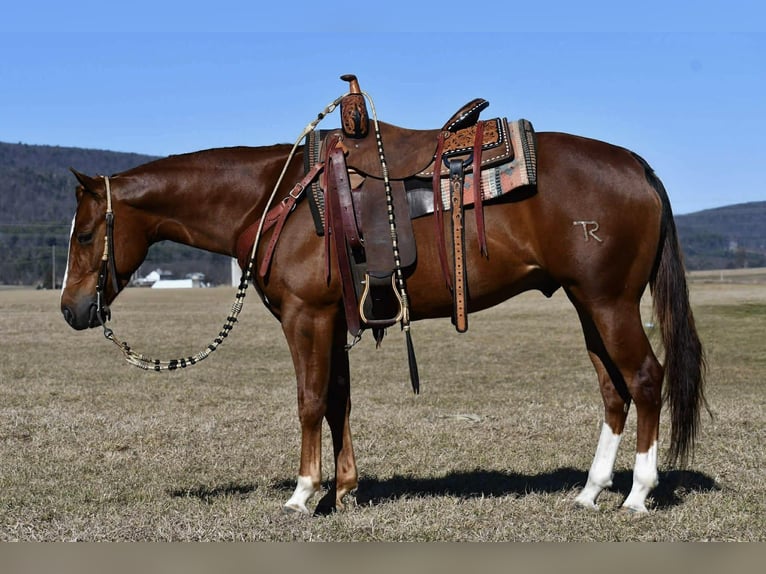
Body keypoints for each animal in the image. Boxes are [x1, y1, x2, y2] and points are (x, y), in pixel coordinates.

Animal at [59, 121, 706, 515]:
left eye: (87, 233)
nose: (71, 310)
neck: (274, 198)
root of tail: (638, 167)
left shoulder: (306, 318)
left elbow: (310, 401)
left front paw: (302, 494)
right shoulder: (333, 319)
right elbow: (338, 402)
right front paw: (342, 491)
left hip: (609, 302)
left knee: (645, 379)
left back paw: (637, 495)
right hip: (586, 302)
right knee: (613, 390)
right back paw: (590, 492)